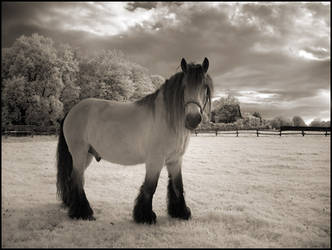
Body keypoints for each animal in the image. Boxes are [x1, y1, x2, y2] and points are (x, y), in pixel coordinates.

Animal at [55, 57, 214, 224]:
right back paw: (82, 212)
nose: (193, 119)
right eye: (184, 87)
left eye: (205, 87)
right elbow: (150, 187)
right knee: (76, 180)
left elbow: (177, 186)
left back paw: (72, 205)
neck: (167, 120)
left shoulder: (175, 160)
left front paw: (180, 212)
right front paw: (145, 216)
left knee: (74, 179)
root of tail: (71, 111)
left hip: (87, 155)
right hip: (79, 153)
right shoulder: (155, 161)